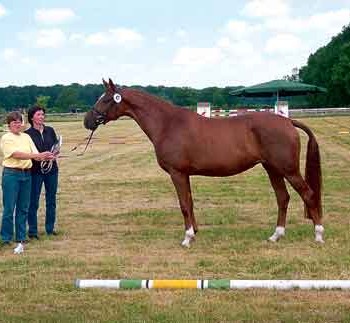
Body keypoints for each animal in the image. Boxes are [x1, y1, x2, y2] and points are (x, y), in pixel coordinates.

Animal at [85, 79, 326, 247]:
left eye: (106, 99)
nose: (87, 121)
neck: (167, 124)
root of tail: (288, 121)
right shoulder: (185, 175)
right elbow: (190, 203)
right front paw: (194, 233)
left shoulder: (177, 173)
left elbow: (183, 205)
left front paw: (187, 238)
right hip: (272, 169)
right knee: (283, 198)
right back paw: (276, 236)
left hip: (288, 169)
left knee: (308, 194)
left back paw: (318, 235)